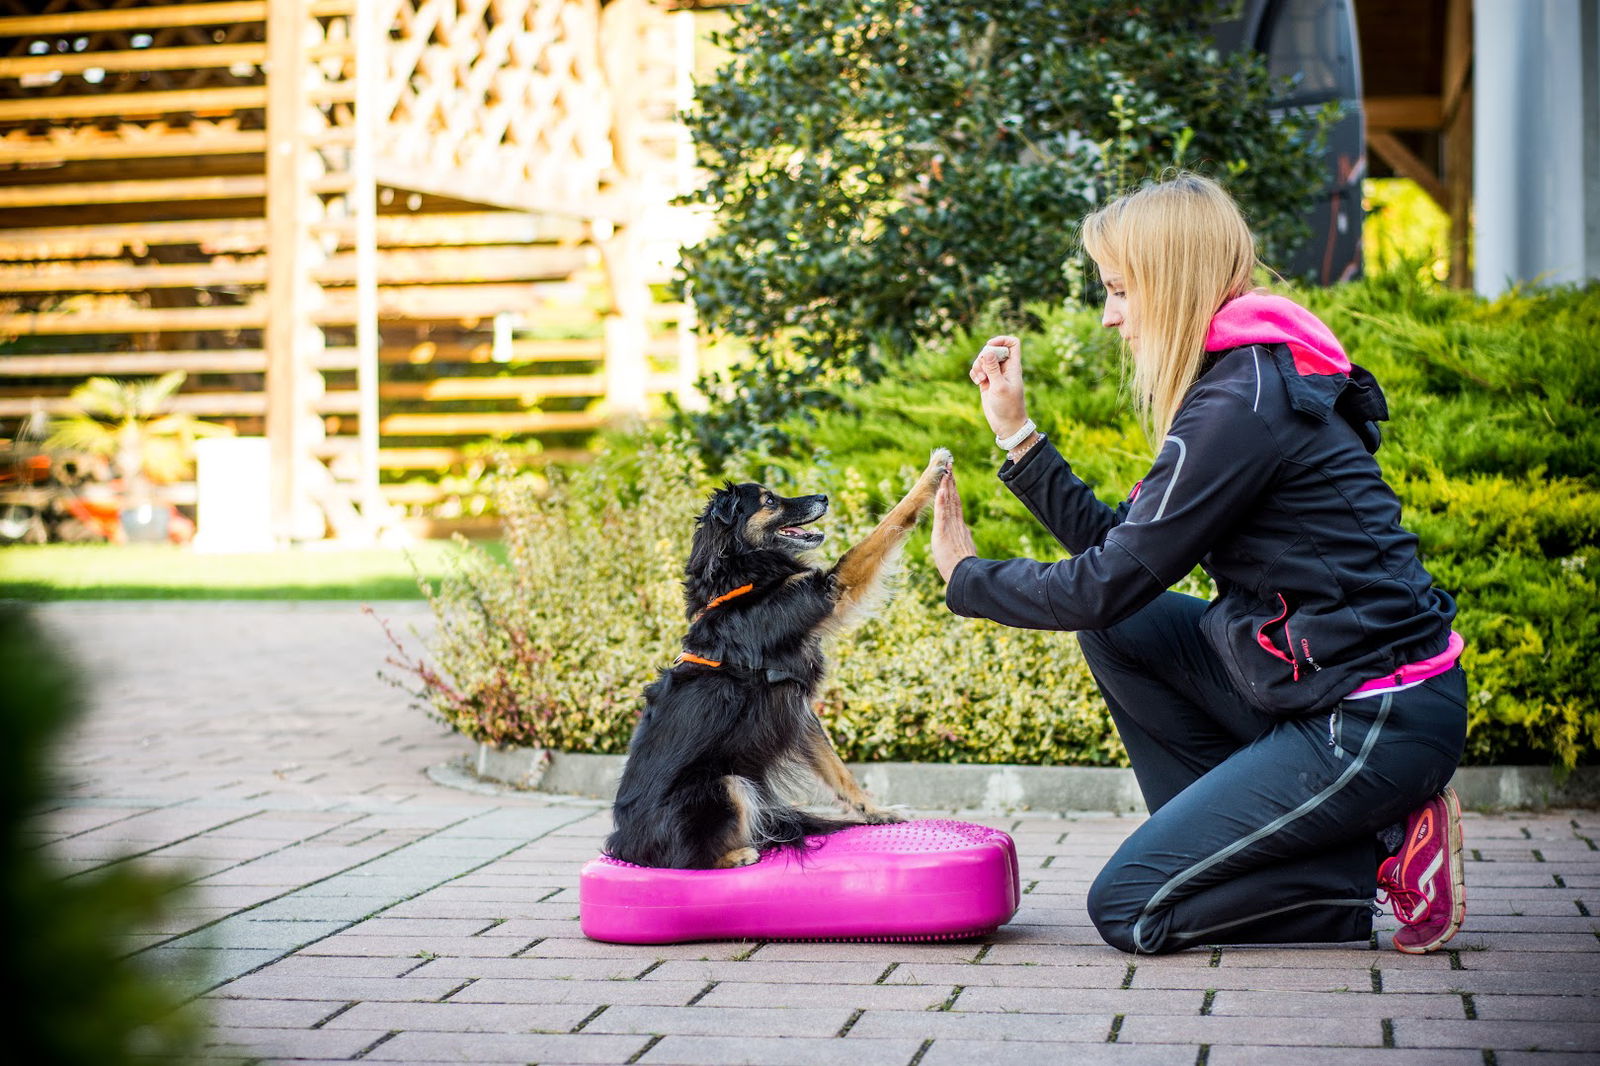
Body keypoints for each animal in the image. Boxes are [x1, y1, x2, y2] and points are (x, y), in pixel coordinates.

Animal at [601, 444, 947, 870]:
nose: (824, 497)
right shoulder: (829, 588)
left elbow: (840, 772)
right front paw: (933, 472)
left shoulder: (797, 707)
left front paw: (875, 812)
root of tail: (625, 843)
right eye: (769, 501)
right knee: (688, 858)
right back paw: (740, 853)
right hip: (727, 783)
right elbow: (888, 524)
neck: (741, 579)